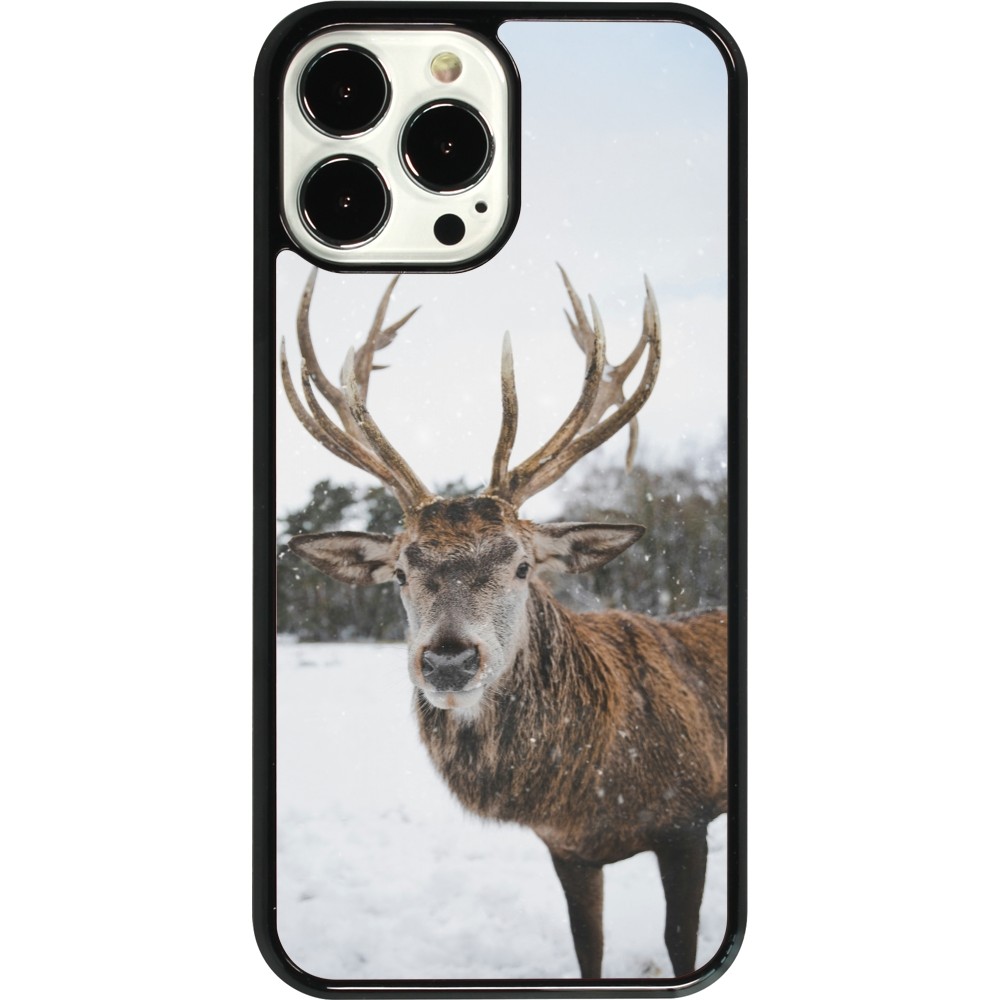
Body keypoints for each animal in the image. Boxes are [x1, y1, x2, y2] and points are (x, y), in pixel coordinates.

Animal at [280, 267, 728, 979]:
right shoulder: (567, 850)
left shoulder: (689, 821)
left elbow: (680, 945)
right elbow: (588, 951)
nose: (448, 660)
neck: (592, 789)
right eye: (400, 572)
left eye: (522, 565)